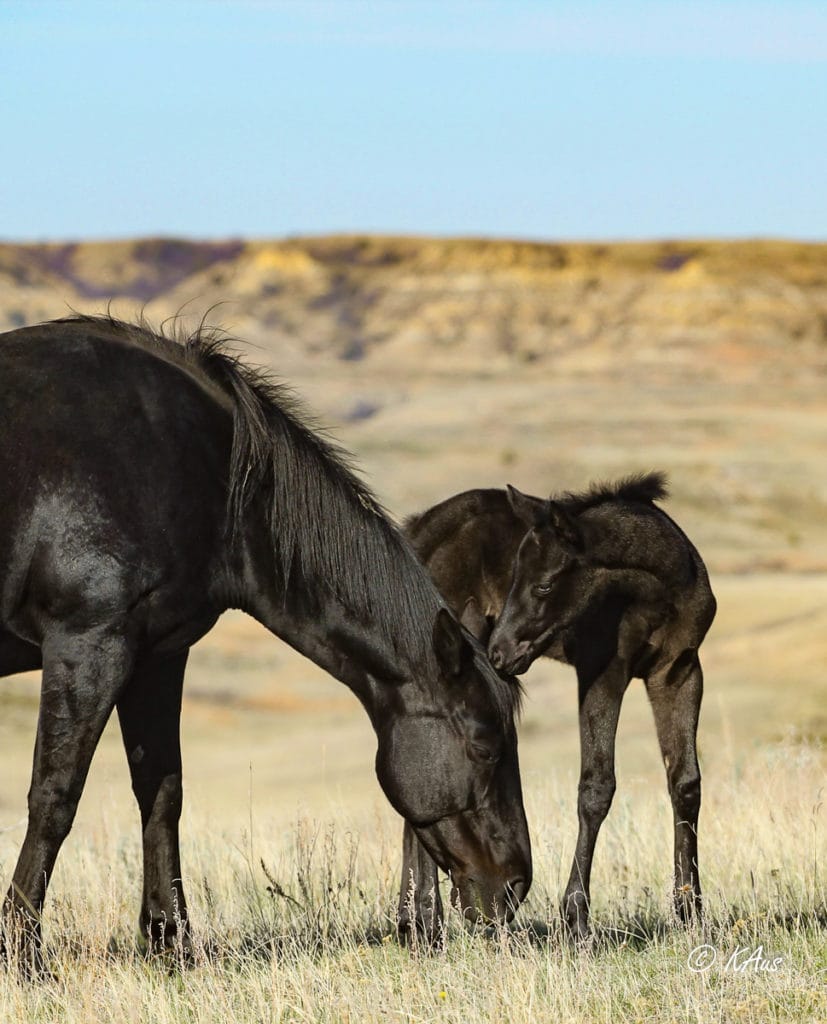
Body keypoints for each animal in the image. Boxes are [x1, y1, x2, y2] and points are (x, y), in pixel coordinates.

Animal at [0, 313, 528, 966]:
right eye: (484, 746)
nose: (517, 885)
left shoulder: (157, 657)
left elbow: (162, 793)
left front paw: (171, 941)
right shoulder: (88, 646)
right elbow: (55, 797)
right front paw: (21, 951)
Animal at [397, 475, 712, 937]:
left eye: (543, 585)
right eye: (512, 577)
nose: (499, 653)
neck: (658, 594)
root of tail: (417, 531)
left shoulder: (680, 671)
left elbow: (685, 783)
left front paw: (691, 911)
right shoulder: (602, 670)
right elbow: (596, 788)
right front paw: (576, 916)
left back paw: (412, 920)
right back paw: (424, 919)